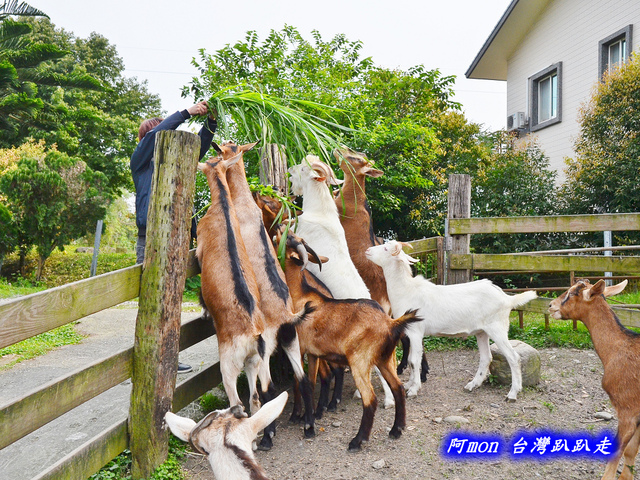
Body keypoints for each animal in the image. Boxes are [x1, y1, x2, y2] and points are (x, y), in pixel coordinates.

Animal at [276, 227, 420, 452]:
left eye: (290, 239)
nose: (282, 228)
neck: (300, 294)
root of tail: (390, 323)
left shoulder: (299, 348)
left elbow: (300, 382)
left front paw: (302, 421)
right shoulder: (314, 353)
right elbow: (312, 381)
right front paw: (312, 414)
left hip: (360, 362)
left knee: (370, 399)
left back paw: (357, 440)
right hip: (384, 359)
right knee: (398, 389)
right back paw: (396, 430)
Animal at [364, 240, 536, 402]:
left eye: (386, 248)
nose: (367, 250)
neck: (406, 290)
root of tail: (507, 298)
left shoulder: (416, 332)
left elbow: (414, 360)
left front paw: (413, 389)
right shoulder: (411, 333)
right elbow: (413, 360)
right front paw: (409, 384)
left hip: (497, 328)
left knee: (513, 357)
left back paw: (513, 393)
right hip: (482, 332)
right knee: (486, 357)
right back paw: (473, 384)